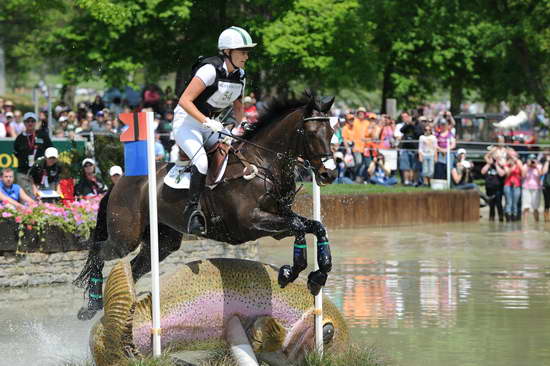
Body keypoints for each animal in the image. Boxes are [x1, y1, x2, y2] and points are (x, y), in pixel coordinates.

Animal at [75, 93, 338, 320]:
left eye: (332, 131)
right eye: (312, 133)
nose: (329, 174)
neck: (263, 164)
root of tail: (120, 181)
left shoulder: (277, 221)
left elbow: (314, 226)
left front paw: (317, 274)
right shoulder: (251, 223)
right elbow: (299, 227)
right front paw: (291, 272)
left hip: (163, 242)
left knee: (135, 267)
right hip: (125, 237)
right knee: (98, 250)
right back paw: (92, 305)